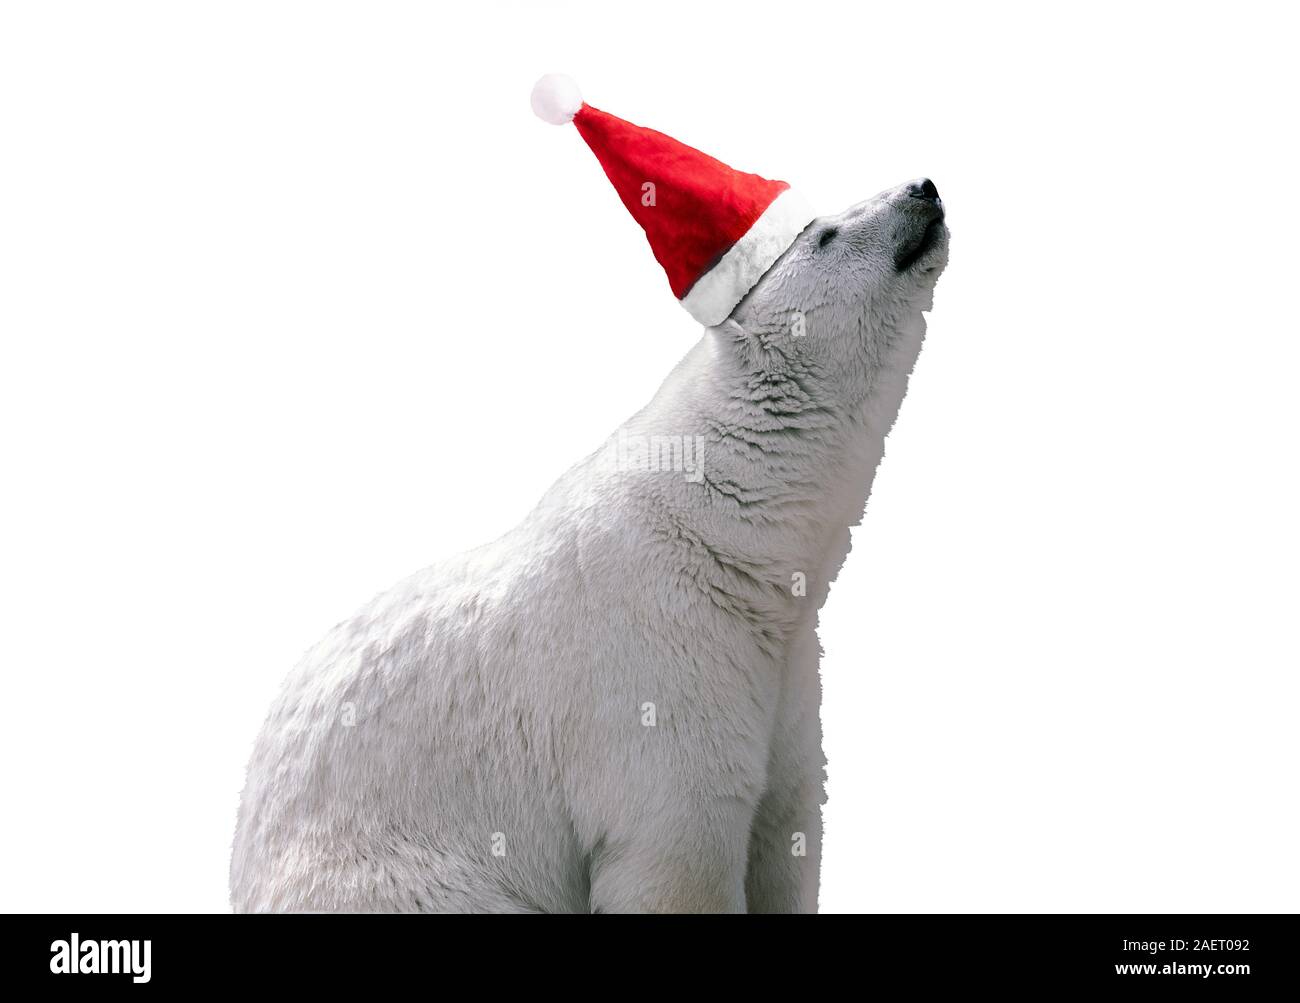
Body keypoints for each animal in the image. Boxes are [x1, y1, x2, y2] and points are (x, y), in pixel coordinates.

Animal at [230, 178, 948, 913]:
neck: (726, 532)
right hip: (405, 879)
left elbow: (787, 832)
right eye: (825, 234)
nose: (921, 188)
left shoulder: (787, 675)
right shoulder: (656, 664)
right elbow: (680, 853)